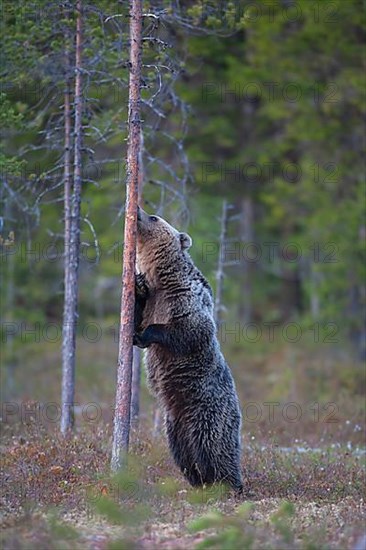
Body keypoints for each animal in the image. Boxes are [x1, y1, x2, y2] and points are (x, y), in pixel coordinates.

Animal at [134, 207, 243, 492]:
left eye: (154, 217)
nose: (136, 209)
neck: (162, 279)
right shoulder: (153, 300)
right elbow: (136, 313)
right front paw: (136, 285)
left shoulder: (186, 299)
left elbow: (190, 330)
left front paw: (145, 335)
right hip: (174, 426)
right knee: (184, 455)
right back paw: (196, 482)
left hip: (208, 412)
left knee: (215, 448)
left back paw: (229, 484)